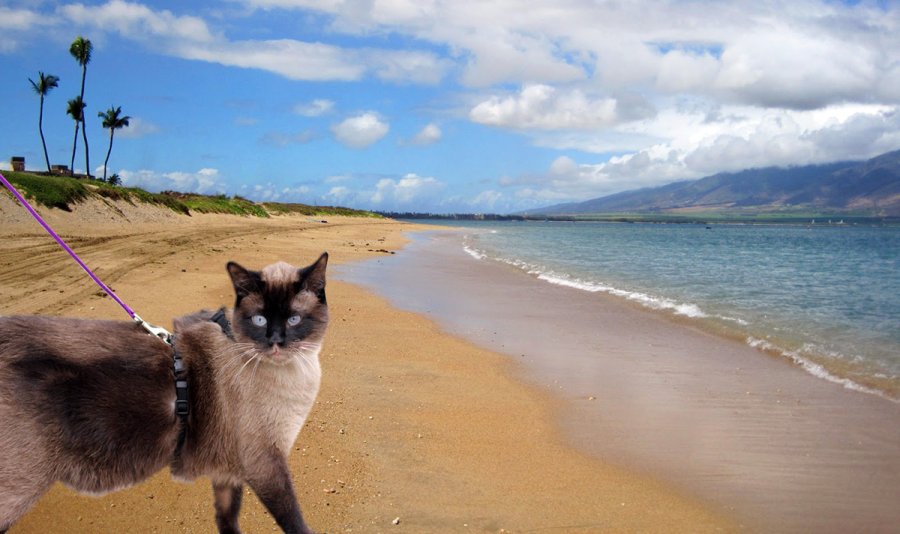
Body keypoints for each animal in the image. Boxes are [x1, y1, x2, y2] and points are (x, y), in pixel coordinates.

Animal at [0, 254, 330, 534]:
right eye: (260, 320)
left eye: (294, 319)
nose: (276, 342)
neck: (295, 375)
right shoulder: (264, 461)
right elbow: (293, 518)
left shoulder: (228, 475)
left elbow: (227, 519)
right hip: (17, 491)